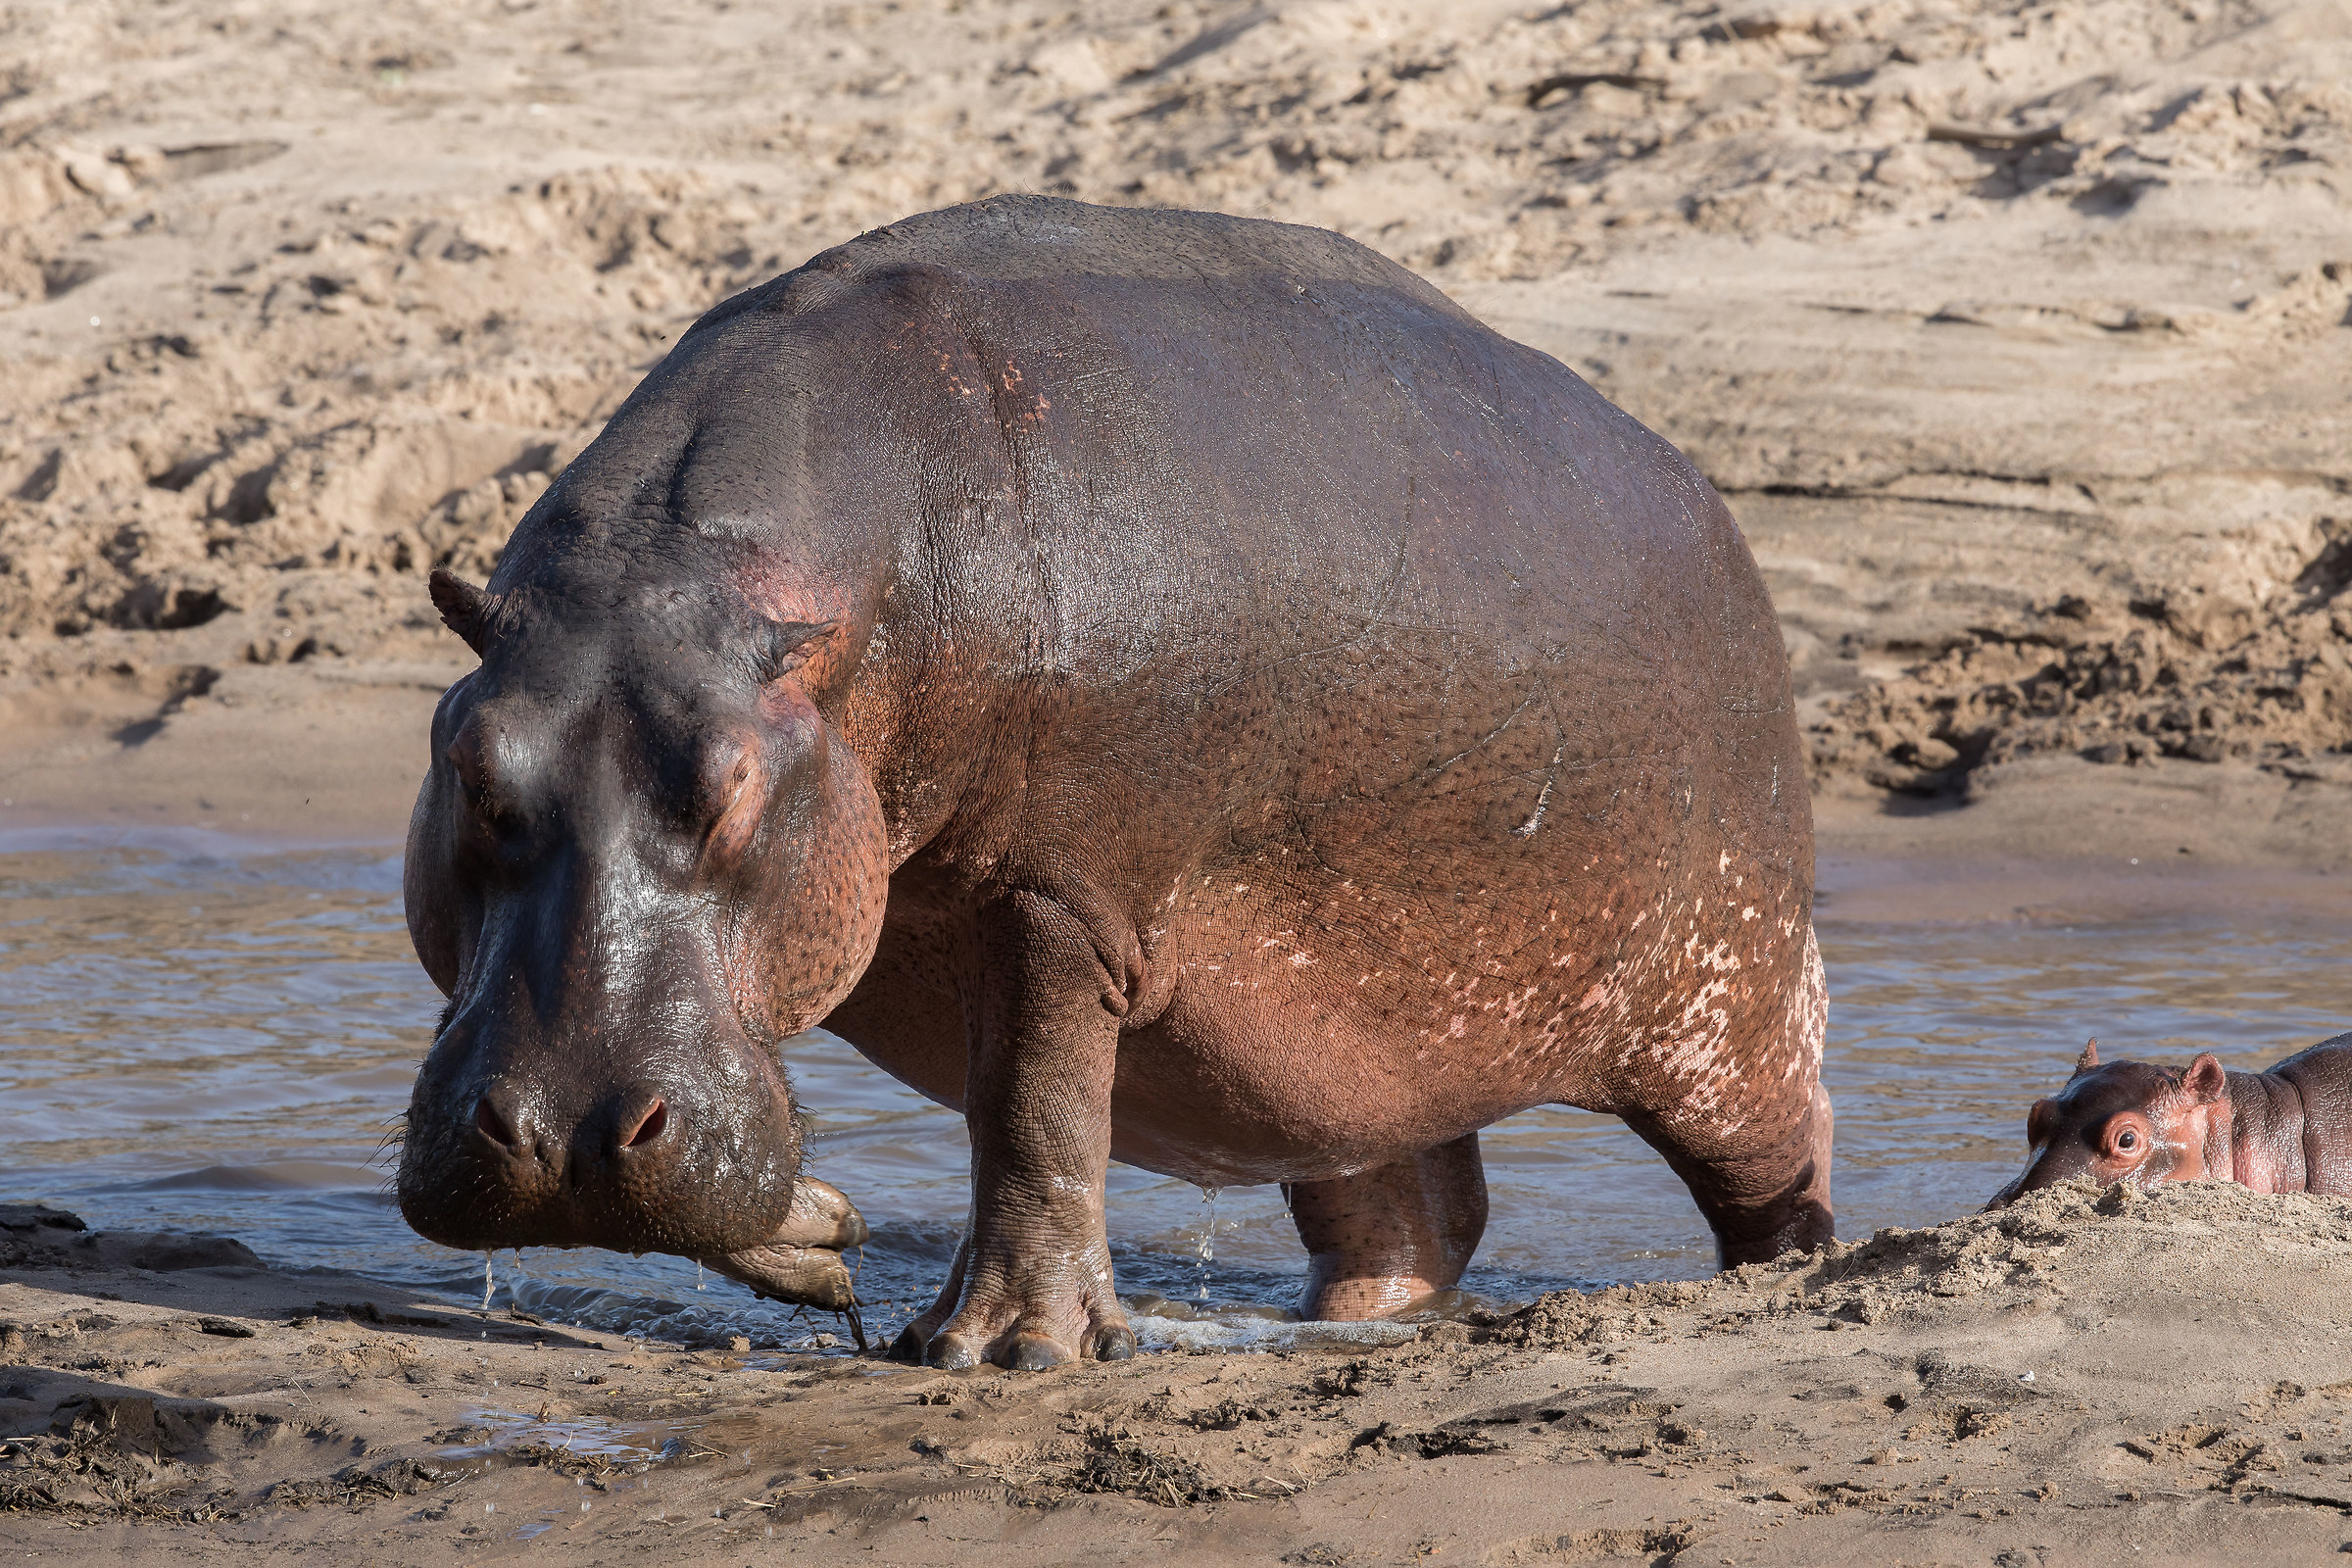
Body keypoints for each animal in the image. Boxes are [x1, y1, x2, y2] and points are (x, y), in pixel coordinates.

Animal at [396, 195, 1832, 1371]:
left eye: (729, 792)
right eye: (473, 772)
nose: (567, 1138)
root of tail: (1705, 498)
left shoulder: (1061, 897)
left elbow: (1035, 1109)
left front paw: (1008, 1349)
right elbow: (799, 1112)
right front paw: (831, 1238)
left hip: (1731, 990)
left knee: (1779, 1161)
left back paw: (1803, 1286)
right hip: (1360, 1051)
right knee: (1409, 1212)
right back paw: (1340, 1330)